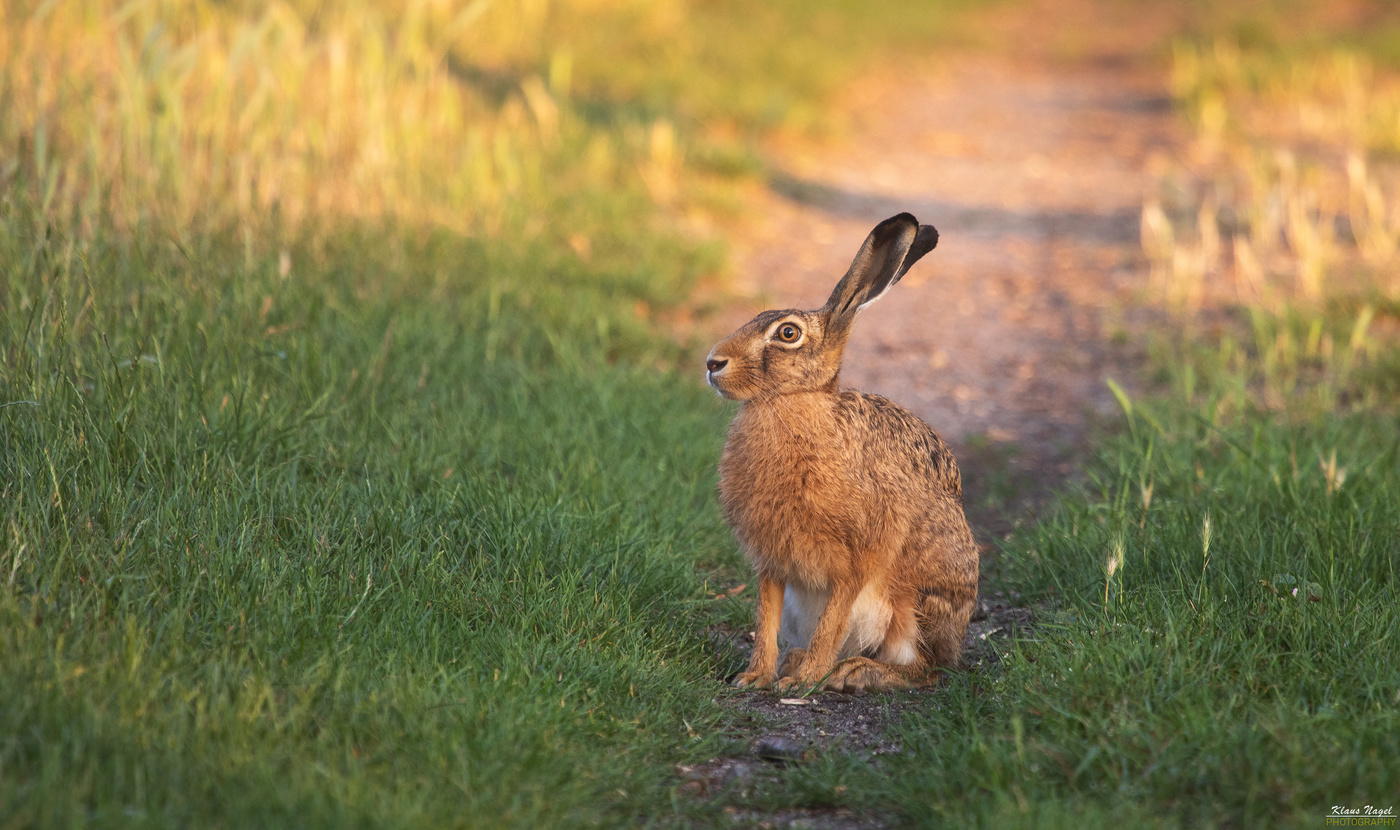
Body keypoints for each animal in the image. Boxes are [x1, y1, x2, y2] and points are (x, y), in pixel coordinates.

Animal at [705, 212, 978, 693]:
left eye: (788, 333)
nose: (712, 362)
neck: (792, 400)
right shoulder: (773, 561)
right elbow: (765, 615)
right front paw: (756, 676)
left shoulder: (856, 558)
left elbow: (832, 620)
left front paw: (802, 682)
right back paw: (801, 662)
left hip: (918, 603)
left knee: (927, 669)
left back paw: (854, 671)